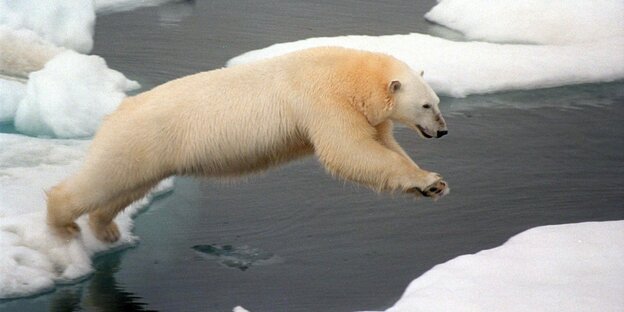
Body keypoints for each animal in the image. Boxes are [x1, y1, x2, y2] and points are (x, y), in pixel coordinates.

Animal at [47, 46, 448, 243]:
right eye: (426, 105)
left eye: (437, 101)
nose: (443, 131)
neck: (352, 74)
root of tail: (115, 112)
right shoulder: (324, 99)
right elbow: (348, 151)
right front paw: (429, 180)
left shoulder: (366, 113)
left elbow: (382, 145)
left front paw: (433, 184)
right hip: (139, 138)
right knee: (103, 178)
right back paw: (62, 223)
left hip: (149, 151)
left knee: (128, 187)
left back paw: (106, 228)